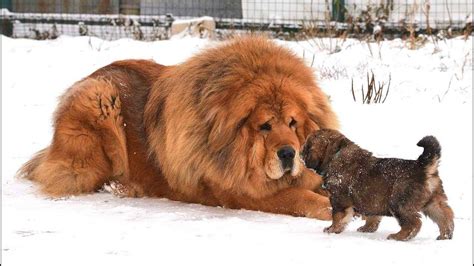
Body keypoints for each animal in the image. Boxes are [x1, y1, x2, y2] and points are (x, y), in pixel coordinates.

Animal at [18, 37, 336, 220]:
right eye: (265, 126)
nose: (288, 154)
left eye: (293, 123)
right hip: (98, 99)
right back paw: (122, 185)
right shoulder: (242, 192)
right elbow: (300, 197)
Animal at [304, 129, 456, 241]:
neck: (336, 153)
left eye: (307, 147)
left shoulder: (338, 199)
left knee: (414, 223)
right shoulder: (372, 201)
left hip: (399, 203)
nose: (300, 152)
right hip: (433, 202)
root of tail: (423, 167)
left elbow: (337, 217)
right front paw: (367, 228)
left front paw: (332, 229)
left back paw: (398, 236)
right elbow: (373, 217)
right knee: (445, 216)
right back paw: (445, 236)